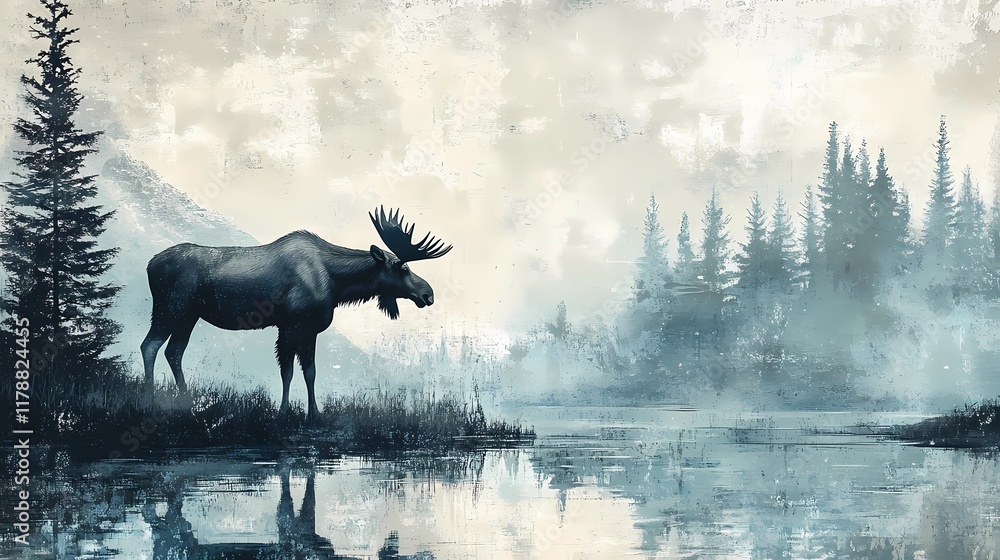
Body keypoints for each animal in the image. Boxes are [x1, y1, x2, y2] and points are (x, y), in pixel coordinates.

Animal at [139, 207, 453, 423]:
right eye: (404, 268)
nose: (428, 294)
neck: (337, 285)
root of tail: (150, 265)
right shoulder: (291, 325)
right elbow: (288, 372)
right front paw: (284, 412)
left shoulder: (307, 329)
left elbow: (310, 372)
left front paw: (315, 414)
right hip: (171, 308)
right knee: (150, 345)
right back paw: (150, 399)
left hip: (188, 316)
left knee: (174, 351)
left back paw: (186, 402)